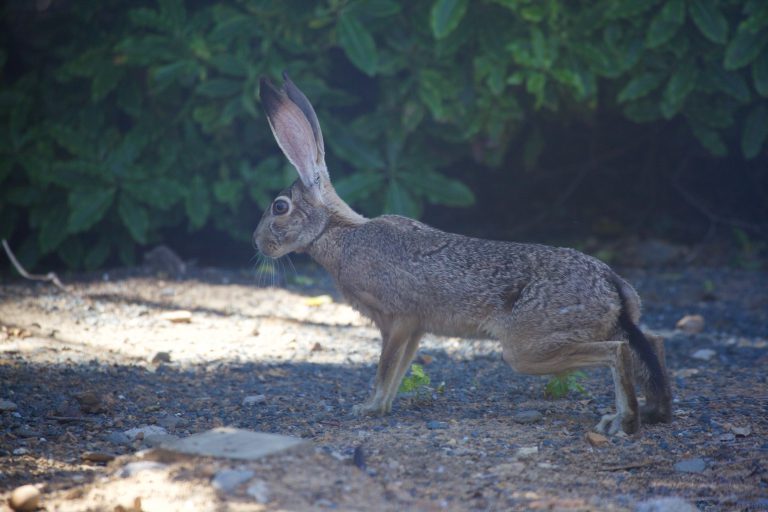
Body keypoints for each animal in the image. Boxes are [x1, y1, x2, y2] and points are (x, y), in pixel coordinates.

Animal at [253, 73, 672, 435]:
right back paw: (655, 412)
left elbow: (385, 367)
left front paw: (368, 408)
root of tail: (611, 286)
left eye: (279, 207)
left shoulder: (396, 319)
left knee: (618, 351)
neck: (338, 232)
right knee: (651, 343)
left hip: (529, 348)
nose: (257, 242)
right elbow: (400, 370)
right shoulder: (415, 329)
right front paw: (382, 407)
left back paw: (622, 421)